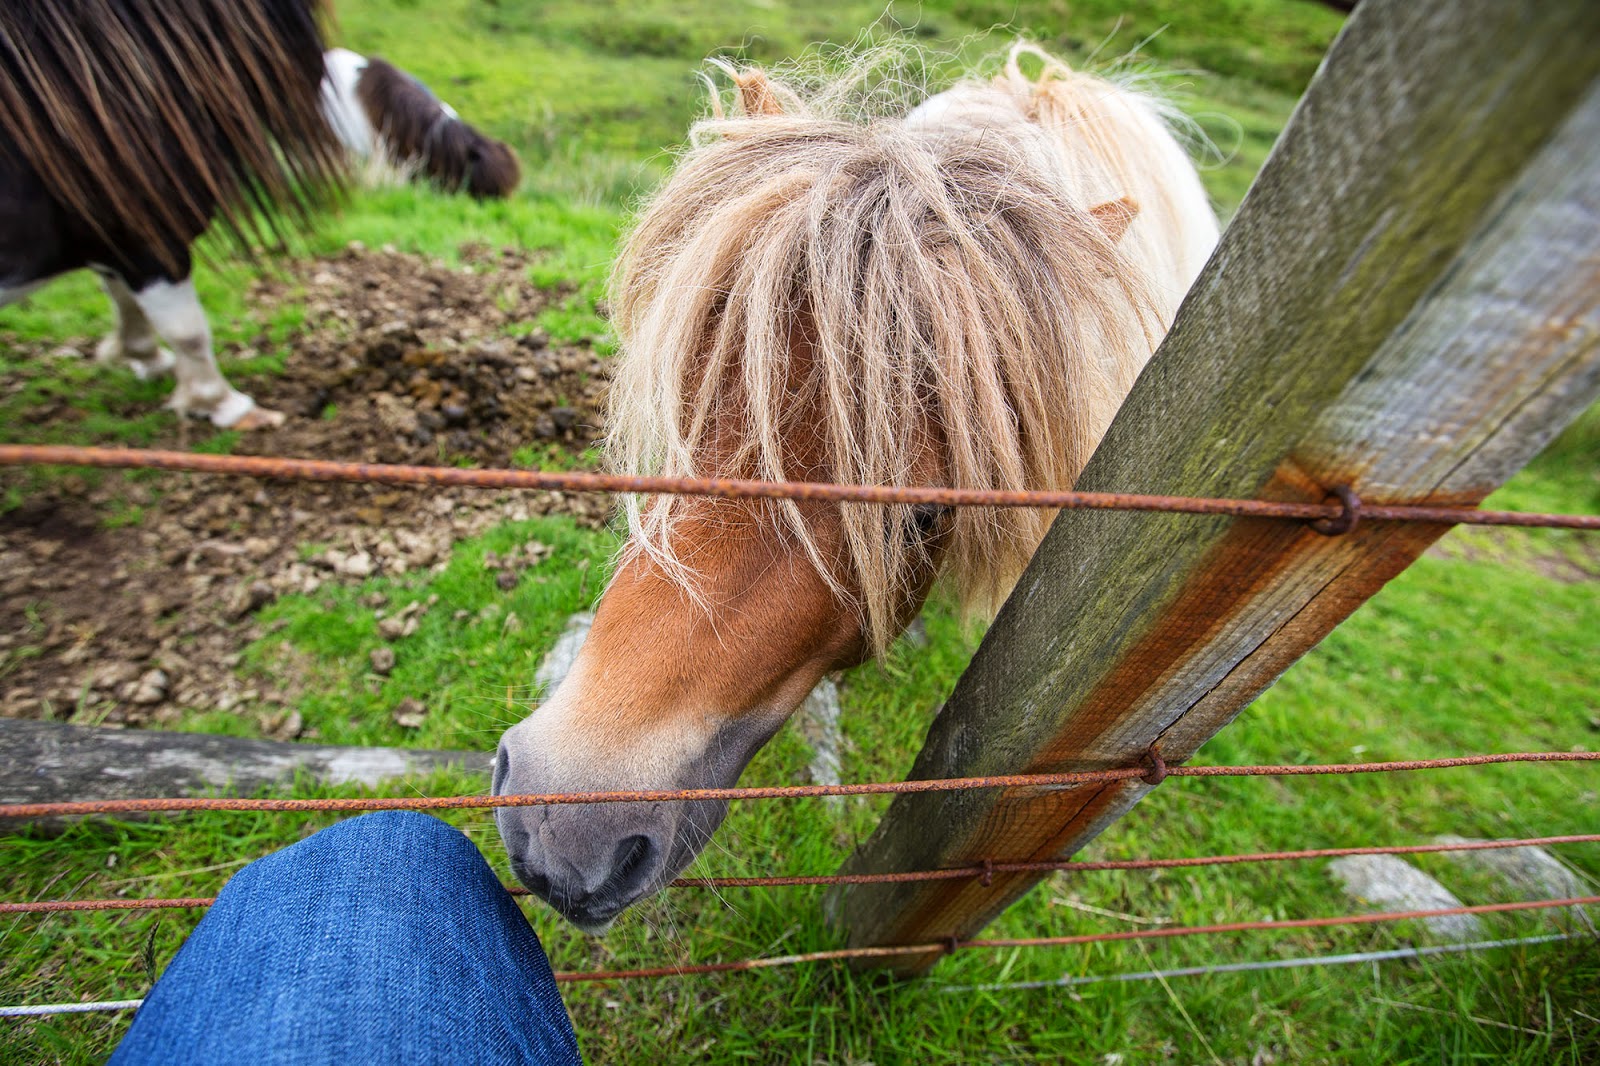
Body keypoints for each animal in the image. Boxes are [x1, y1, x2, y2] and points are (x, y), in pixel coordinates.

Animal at [0, 0, 344, 429]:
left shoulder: (118, 241)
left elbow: (124, 301)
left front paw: (144, 358)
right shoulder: (154, 241)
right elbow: (188, 331)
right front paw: (225, 406)